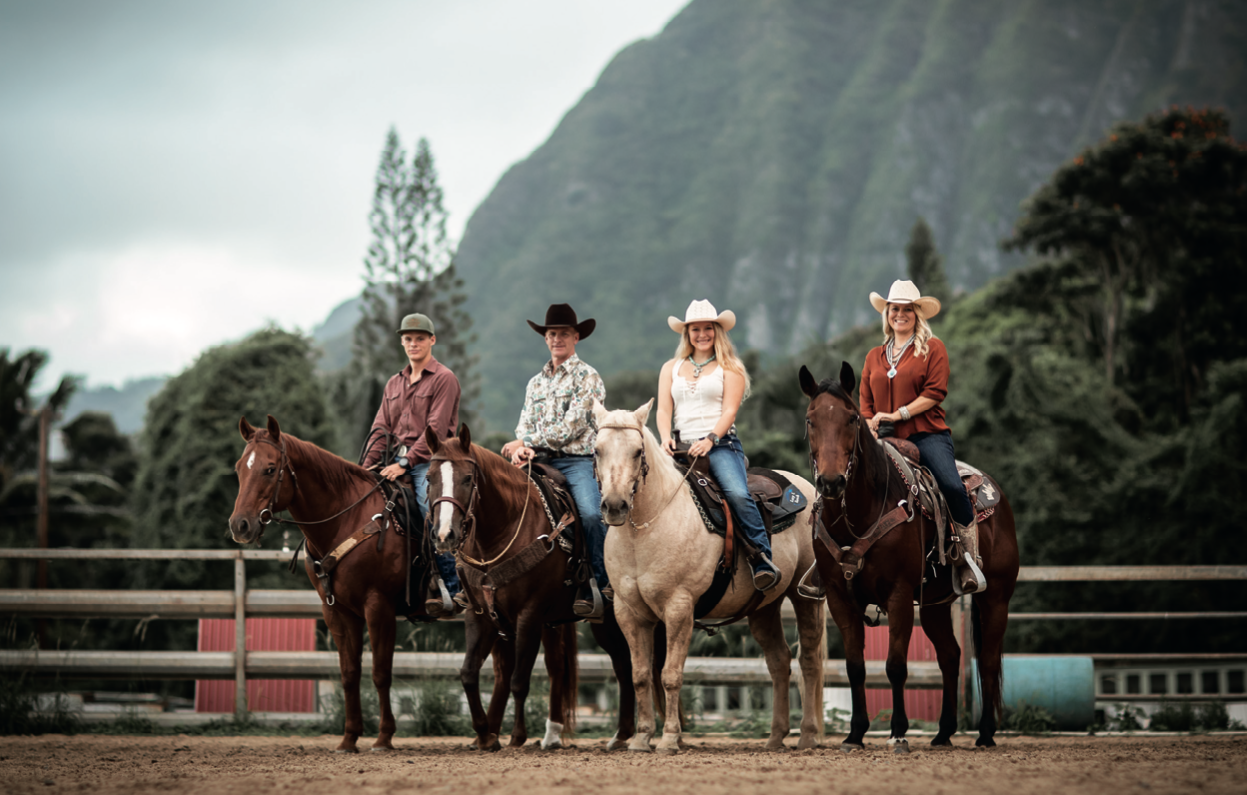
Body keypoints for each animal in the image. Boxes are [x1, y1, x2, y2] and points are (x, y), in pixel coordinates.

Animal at [228, 413, 433, 757]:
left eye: (270, 468)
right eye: (239, 468)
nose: (239, 525)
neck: (348, 517)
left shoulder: (378, 607)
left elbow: (380, 672)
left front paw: (384, 738)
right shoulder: (336, 610)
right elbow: (349, 673)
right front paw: (349, 738)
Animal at [423, 426, 648, 752]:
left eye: (467, 478)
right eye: (429, 478)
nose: (444, 535)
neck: (502, 531)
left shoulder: (528, 614)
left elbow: (519, 679)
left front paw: (517, 736)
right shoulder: (480, 615)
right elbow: (468, 673)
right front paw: (485, 735)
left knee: (630, 663)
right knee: (611, 664)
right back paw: (615, 735)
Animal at [588, 401, 823, 757]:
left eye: (637, 451)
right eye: (597, 450)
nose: (615, 506)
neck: (647, 526)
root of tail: (803, 488)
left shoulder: (679, 608)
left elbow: (670, 675)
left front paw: (669, 739)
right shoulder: (629, 613)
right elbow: (640, 675)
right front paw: (641, 739)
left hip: (805, 597)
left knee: (808, 659)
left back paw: (808, 736)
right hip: (764, 607)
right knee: (779, 660)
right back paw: (775, 737)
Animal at [798, 363, 1022, 752]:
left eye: (851, 418)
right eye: (811, 420)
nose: (830, 482)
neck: (861, 513)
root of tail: (998, 497)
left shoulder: (899, 593)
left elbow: (895, 665)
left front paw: (899, 732)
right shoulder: (840, 598)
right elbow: (855, 667)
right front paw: (855, 734)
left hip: (995, 597)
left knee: (988, 661)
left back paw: (985, 734)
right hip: (934, 604)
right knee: (950, 656)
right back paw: (944, 733)